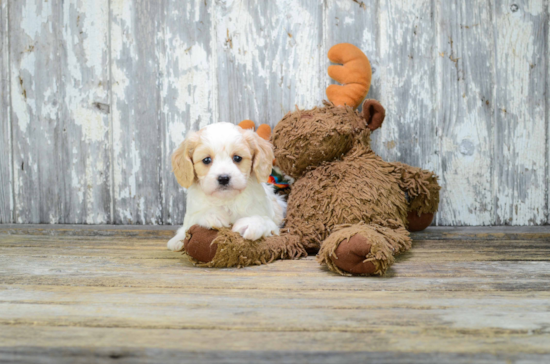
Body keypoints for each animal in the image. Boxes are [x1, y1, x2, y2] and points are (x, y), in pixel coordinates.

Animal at [167, 121, 288, 252]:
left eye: (237, 158)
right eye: (206, 160)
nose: (223, 178)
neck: (227, 200)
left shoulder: (271, 223)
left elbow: (263, 219)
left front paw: (251, 223)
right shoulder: (192, 212)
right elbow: (193, 219)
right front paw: (211, 215)